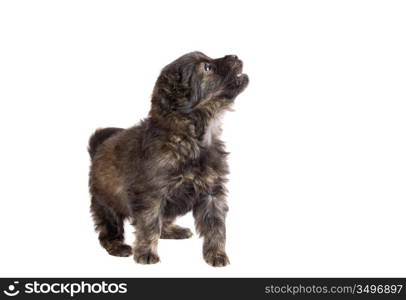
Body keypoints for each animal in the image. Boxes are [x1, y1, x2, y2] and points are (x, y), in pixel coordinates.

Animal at [87, 51, 249, 268]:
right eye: (207, 67)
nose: (235, 55)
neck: (191, 138)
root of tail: (98, 148)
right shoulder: (151, 195)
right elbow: (149, 225)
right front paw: (146, 253)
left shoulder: (212, 193)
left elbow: (216, 226)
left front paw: (216, 254)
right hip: (106, 206)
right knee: (108, 232)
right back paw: (118, 246)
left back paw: (174, 230)